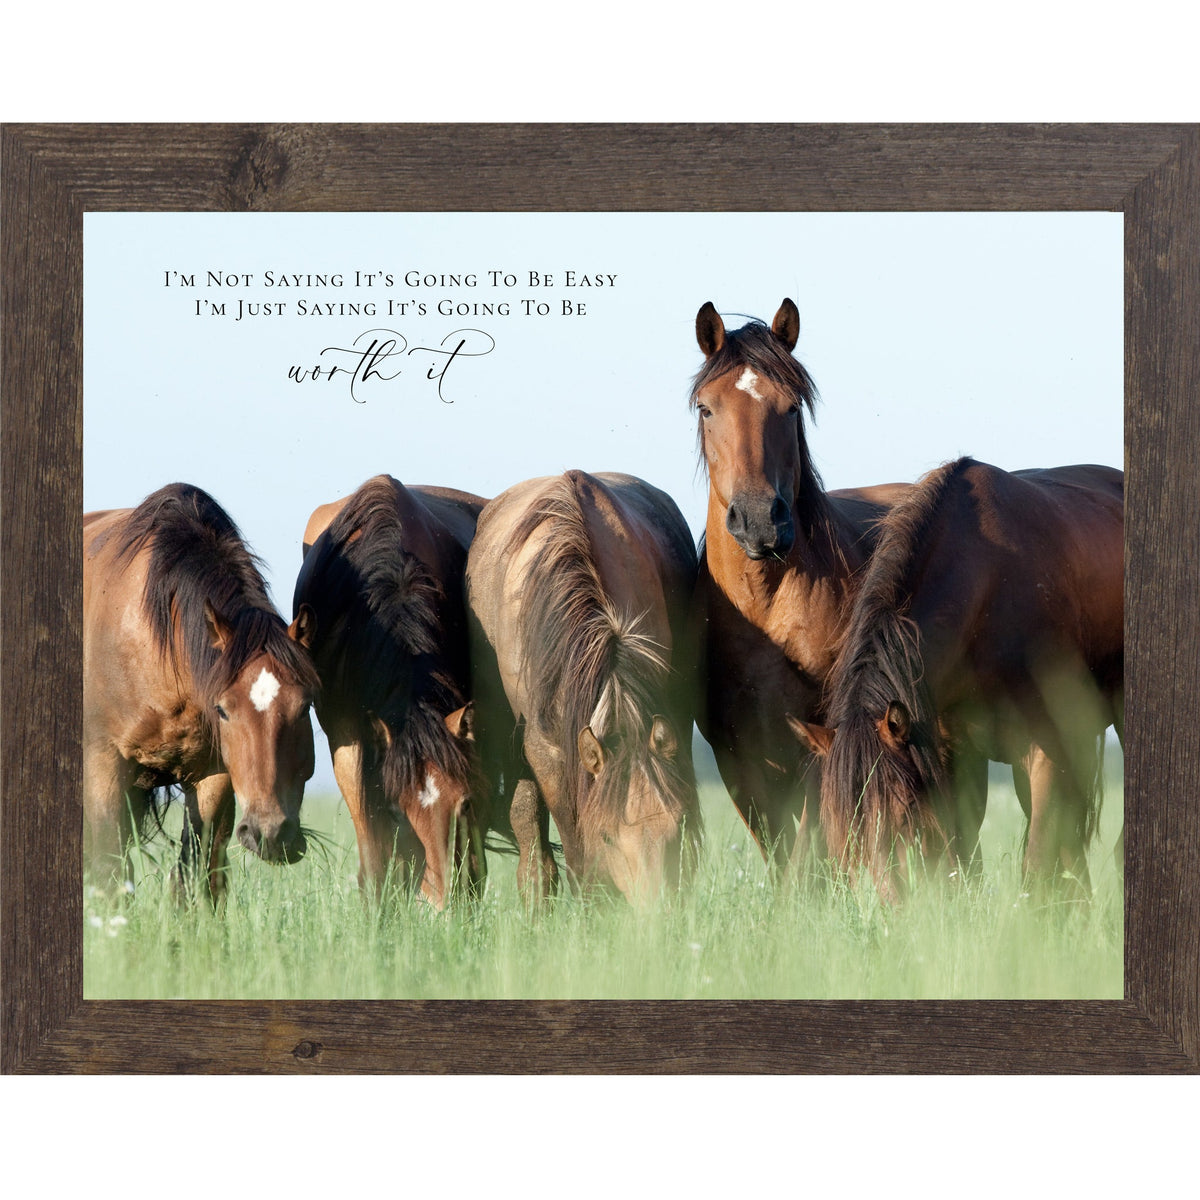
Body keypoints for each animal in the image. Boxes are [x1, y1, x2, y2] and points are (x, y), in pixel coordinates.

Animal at [83, 483, 319, 899]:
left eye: (305, 706)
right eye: (223, 710)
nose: (271, 833)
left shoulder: (213, 776)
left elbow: (197, 874)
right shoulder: (103, 763)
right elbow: (108, 874)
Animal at [691, 299, 910, 873]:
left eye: (791, 408)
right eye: (706, 408)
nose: (759, 521)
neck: (765, 607)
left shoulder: (820, 740)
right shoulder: (738, 757)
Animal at [792, 457, 1124, 901]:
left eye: (903, 811)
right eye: (837, 825)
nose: (884, 906)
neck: (987, 590)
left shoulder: (1045, 752)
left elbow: (1037, 865)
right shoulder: (952, 757)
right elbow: (963, 859)